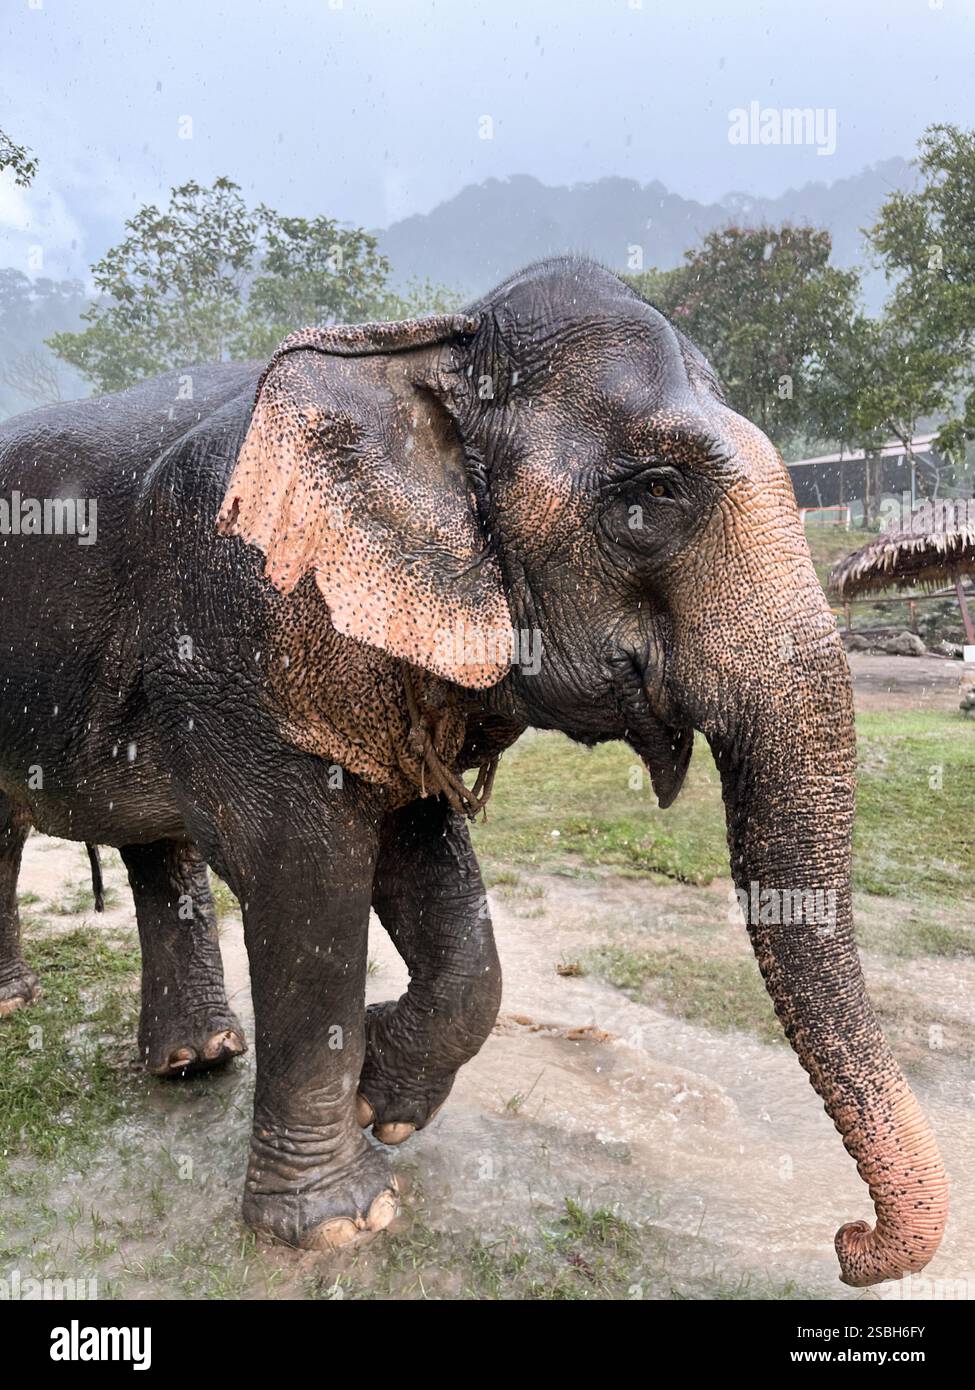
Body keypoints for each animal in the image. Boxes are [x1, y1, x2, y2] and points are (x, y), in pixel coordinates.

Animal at [0, 257, 946, 1285]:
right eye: (654, 492)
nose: (847, 1243)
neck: (426, 346)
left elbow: (423, 855)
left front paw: (381, 1095)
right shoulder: (232, 621)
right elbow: (302, 876)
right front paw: (340, 1223)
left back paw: (194, 1060)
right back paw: (37, 1011)